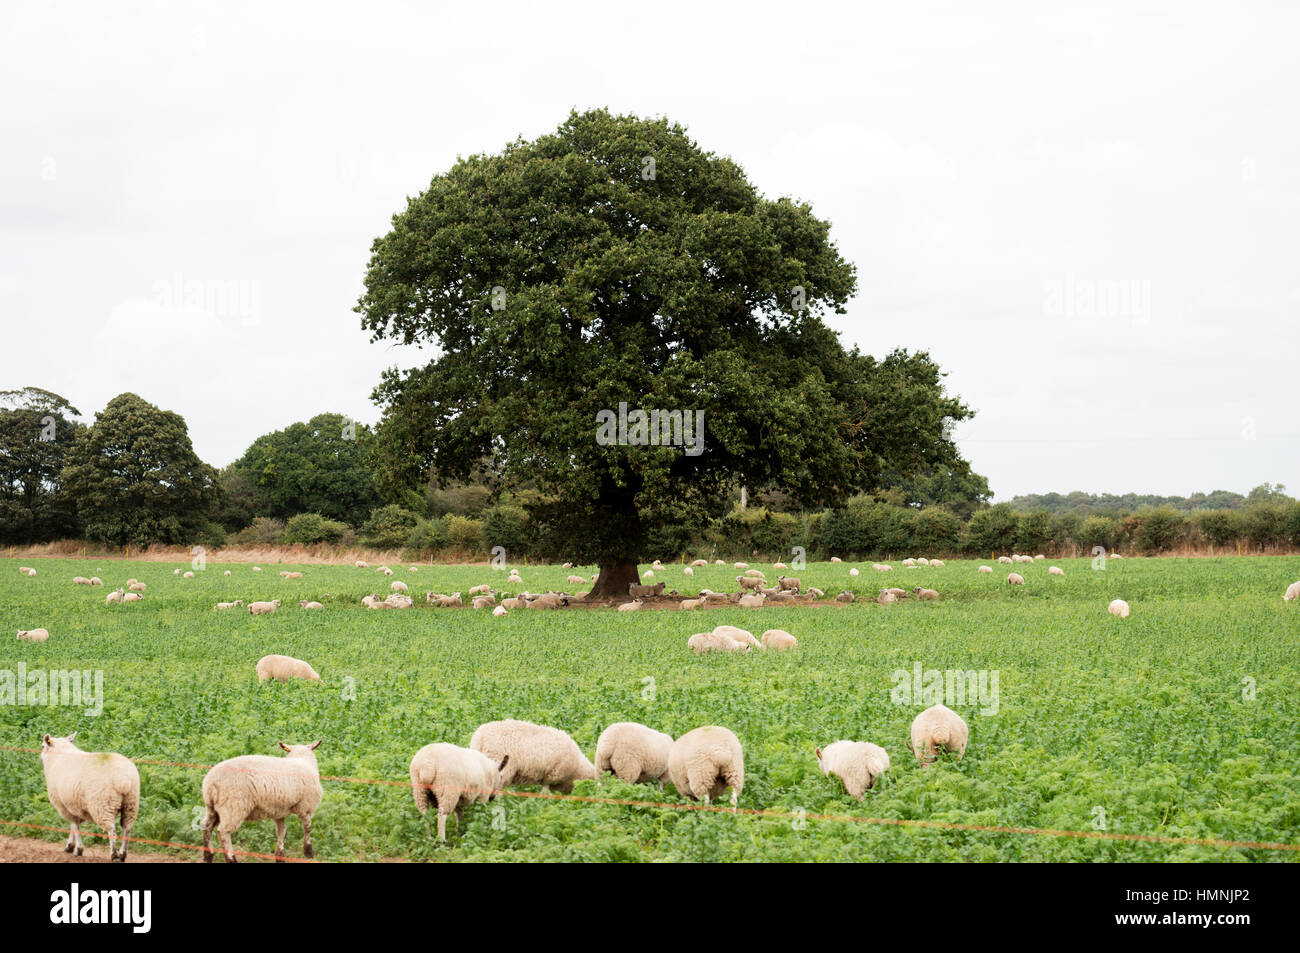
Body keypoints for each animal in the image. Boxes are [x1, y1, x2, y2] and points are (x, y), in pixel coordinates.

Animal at [204, 738, 327, 868]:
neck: (302, 760)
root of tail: (211, 782)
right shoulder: (306, 807)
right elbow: (307, 828)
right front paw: (309, 853)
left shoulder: (279, 811)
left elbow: (282, 832)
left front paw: (280, 856)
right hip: (233, 807)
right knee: (223, 832)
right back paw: (231, 859)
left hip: (212, 807)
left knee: (206, 827)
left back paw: (208, 856)